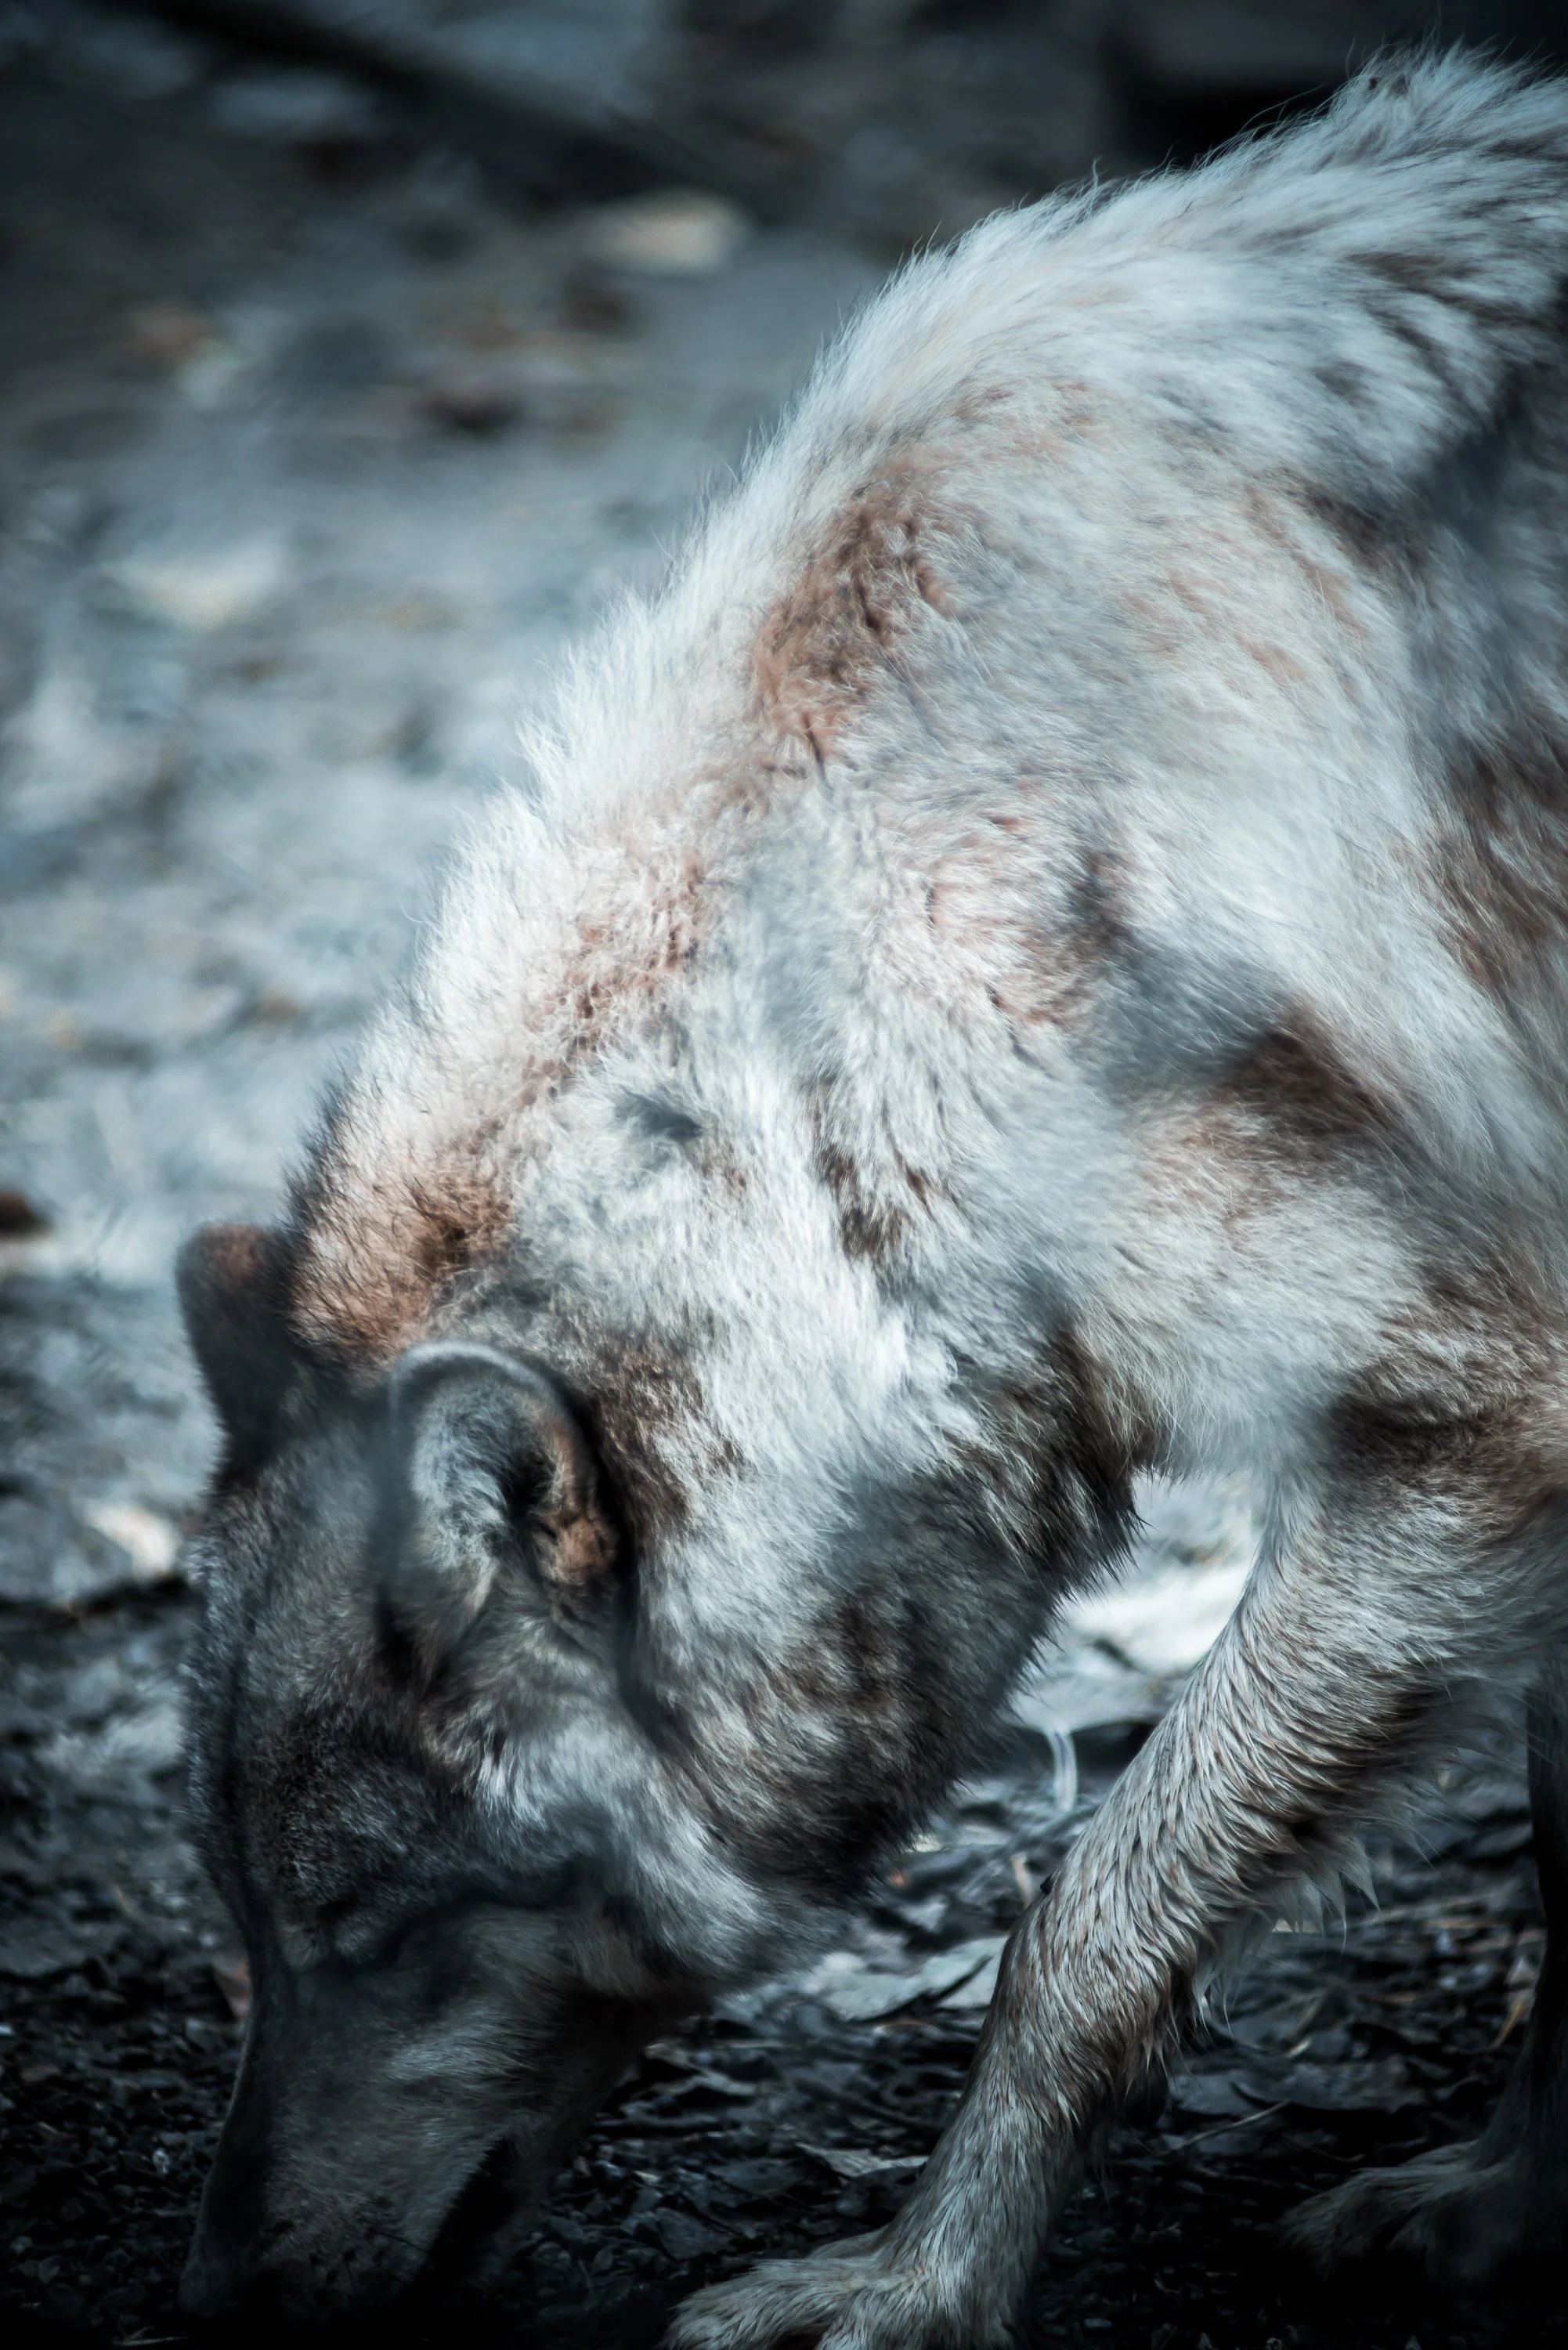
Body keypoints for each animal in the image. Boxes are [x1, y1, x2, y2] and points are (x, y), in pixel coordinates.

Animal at [175, 50, 1568, 2340]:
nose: (214, 2292)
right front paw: (1505, 2193)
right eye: (243, 1915)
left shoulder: (1483, 1434)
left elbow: (1081, 1924)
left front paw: (915, 2289)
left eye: (367, 1922)